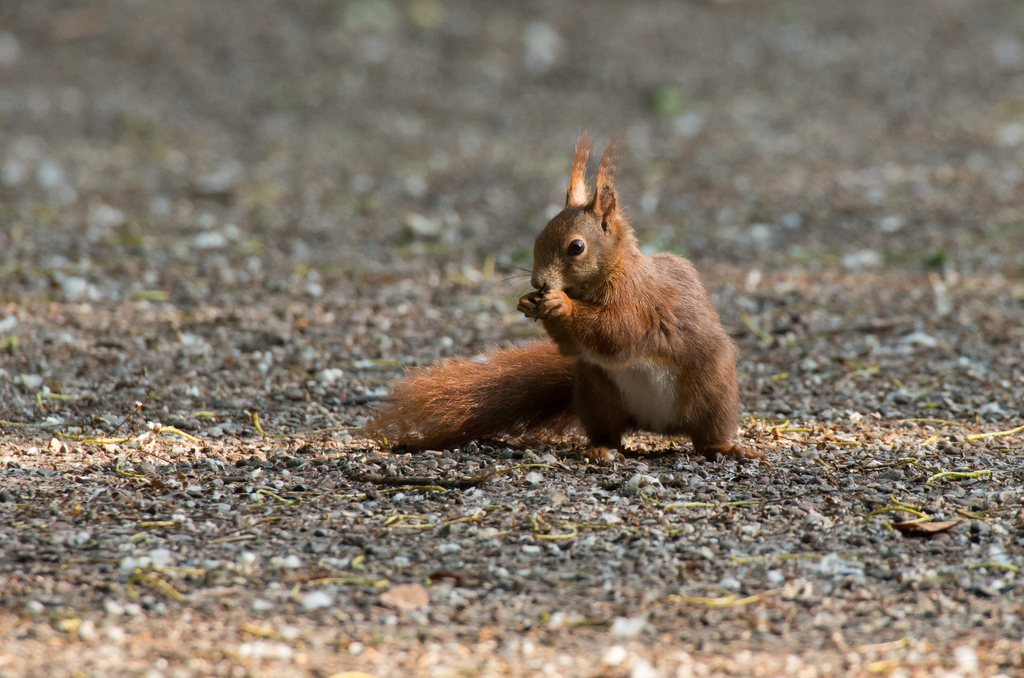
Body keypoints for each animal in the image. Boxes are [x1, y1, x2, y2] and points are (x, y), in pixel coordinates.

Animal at [368, 135, 770, 464]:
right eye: (536, 238)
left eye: (576, 247)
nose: (538, 282)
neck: (607, 275)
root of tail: (657, 425)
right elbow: (572, 346)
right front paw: (529, 302)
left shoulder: (639, 303)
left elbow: (617, 331)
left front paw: (561, 304)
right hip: (598, 395)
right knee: (610, 432)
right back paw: (601, 449)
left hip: (712, 393)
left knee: (706, 435)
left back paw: (725, 448)